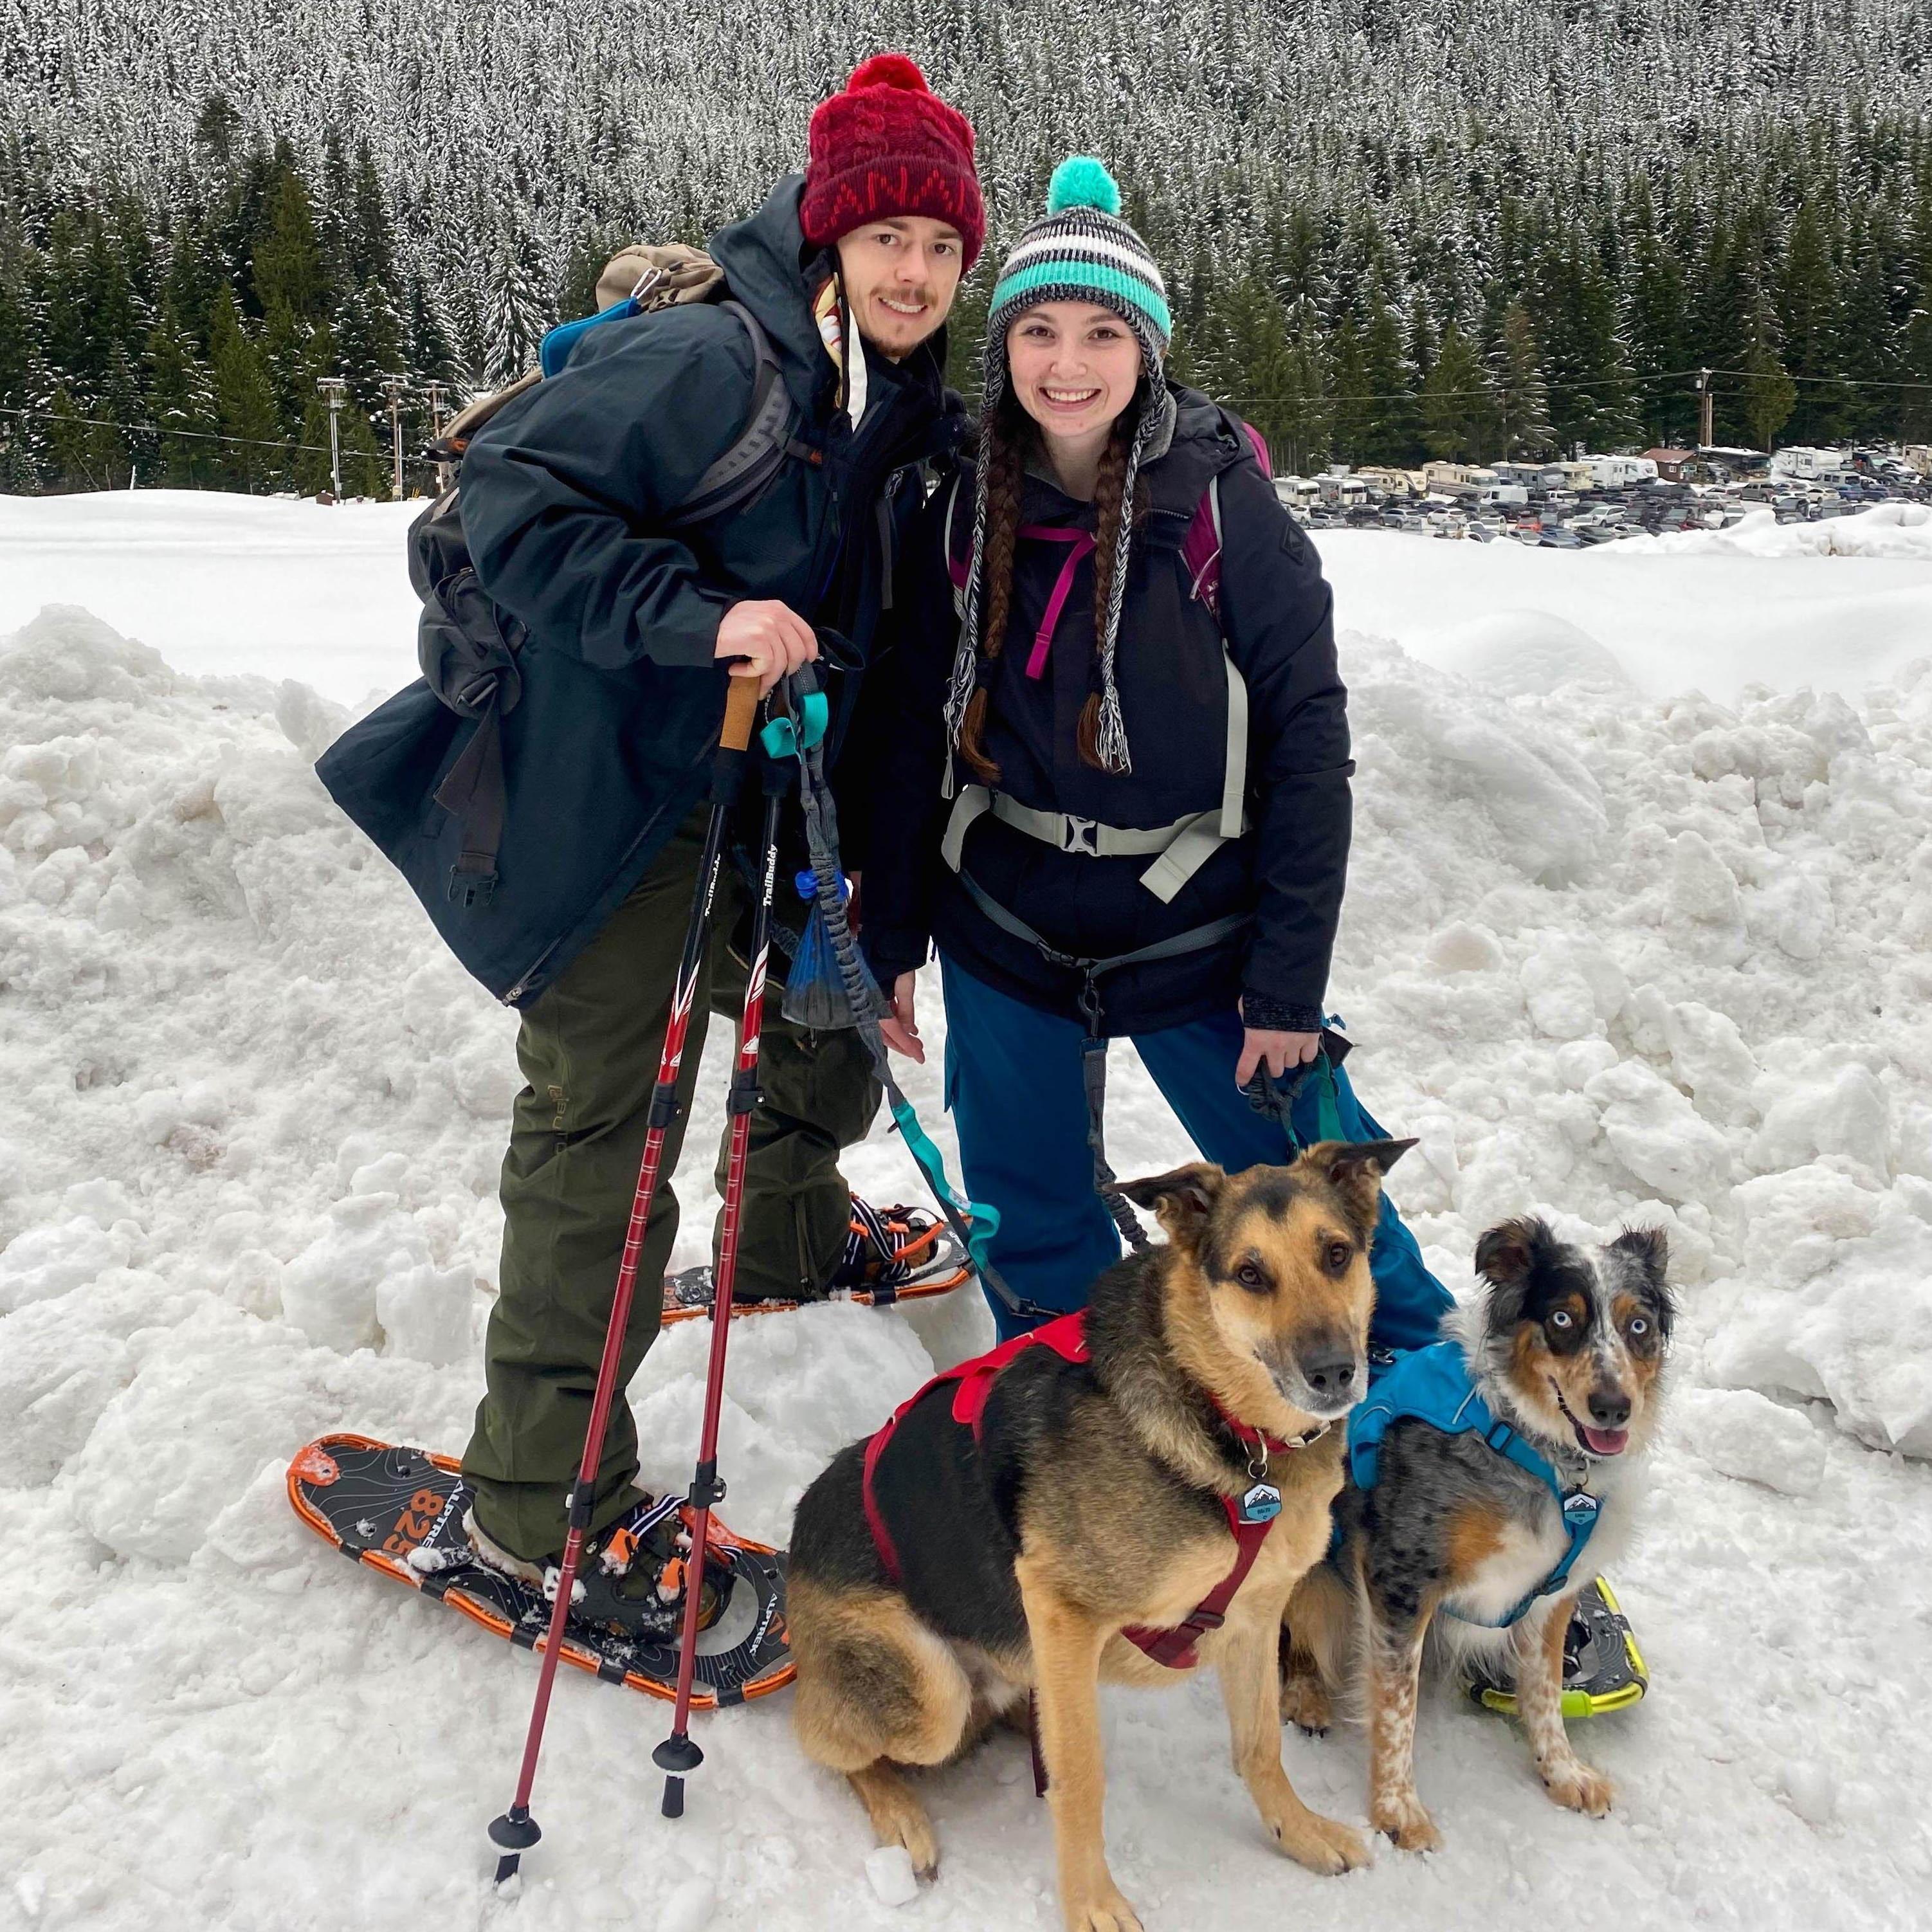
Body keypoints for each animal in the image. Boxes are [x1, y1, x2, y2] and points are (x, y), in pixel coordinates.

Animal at [788, 1144, 1421, 1932]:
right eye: (1250, 1274)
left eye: (1336, 1254)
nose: (1335, 1372)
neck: (1225, 1422)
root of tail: (792, 1543)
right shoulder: (1063, 1609)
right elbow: (1082, 1779)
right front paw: (1091, 1901)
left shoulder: (1253, 1618)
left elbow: (1260, 1744)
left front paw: (1297, 1832)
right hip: (929, 1690)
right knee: (828, 1737)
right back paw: (902, 1813)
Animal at [1282, 1213, 1677, 1846]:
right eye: (1562, 1319)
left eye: (1637, 1325)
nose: (1614, 1407)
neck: (1532, 1448)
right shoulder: (1400, 1579)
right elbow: (1395, 1706)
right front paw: (1397, 1810)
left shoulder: (1549, 1595)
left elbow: (1543, 1693)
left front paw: (1562, 1772)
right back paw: (1307, 1695)